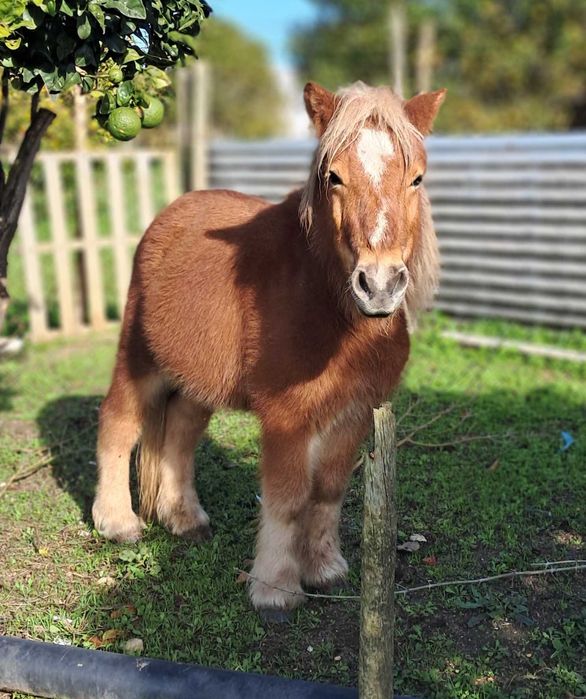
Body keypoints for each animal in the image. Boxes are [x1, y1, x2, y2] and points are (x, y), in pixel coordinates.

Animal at [92, 80, 445, 615]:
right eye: (334, 177)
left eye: (417, 179)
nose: (379, 286)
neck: (330, 309)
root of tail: (168, 215)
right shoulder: (287, 418)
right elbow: (288, 497)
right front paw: (276, 587)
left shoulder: (355, 412)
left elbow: (327, 491)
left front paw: (324, 568)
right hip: (140, 360)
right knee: (119, 422)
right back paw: (117, 522)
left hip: (196, 381)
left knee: (179, 435)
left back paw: (184, 518)